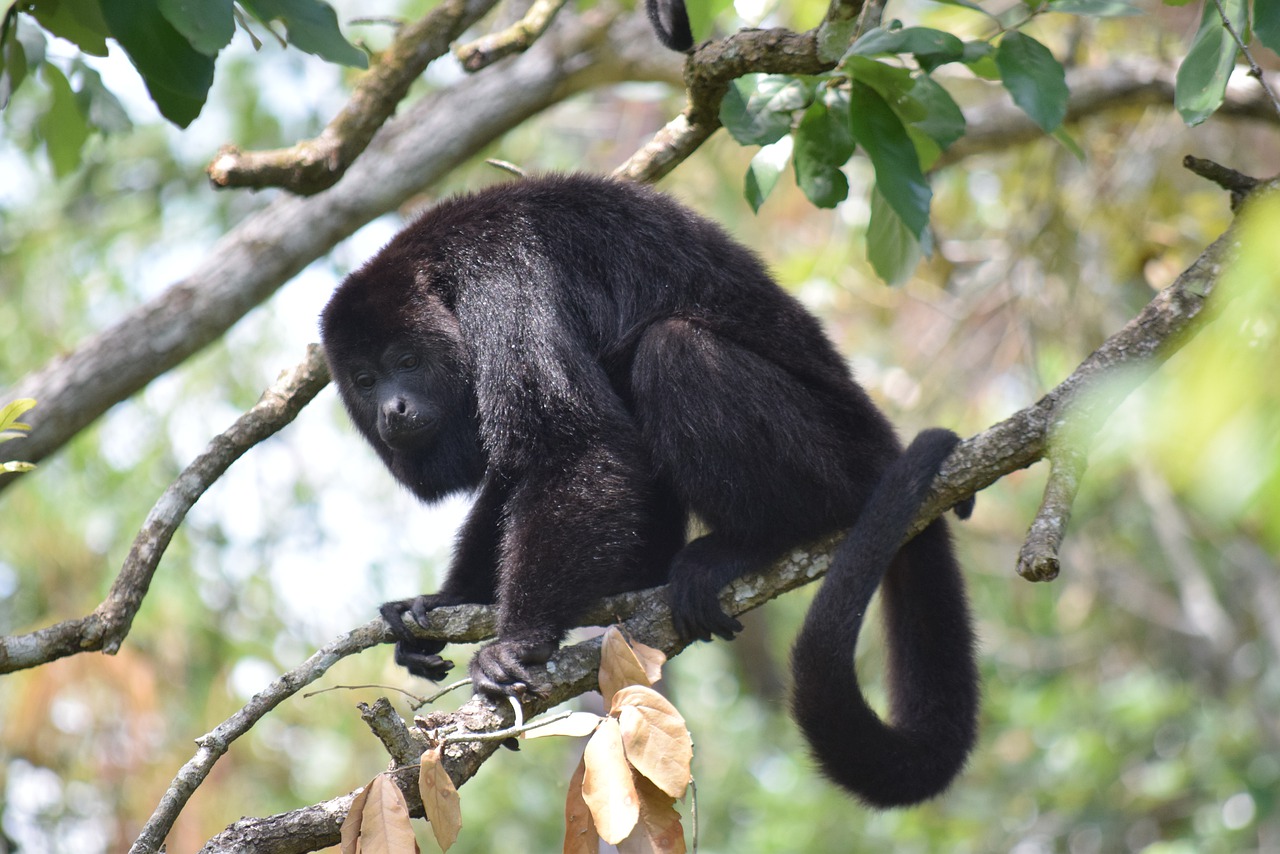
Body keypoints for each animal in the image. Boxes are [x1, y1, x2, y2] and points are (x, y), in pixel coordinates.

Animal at [322, 175, 977, 809]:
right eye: (365, 379)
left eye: (407, 359)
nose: (392, 408)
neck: (447, 275)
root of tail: (881, 448)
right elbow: (519, 470)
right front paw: (440, 603)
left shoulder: (505, 285)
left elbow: (576, 446)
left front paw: (517, 642)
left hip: (833, 457)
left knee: (672, 349)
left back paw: (755, 542)